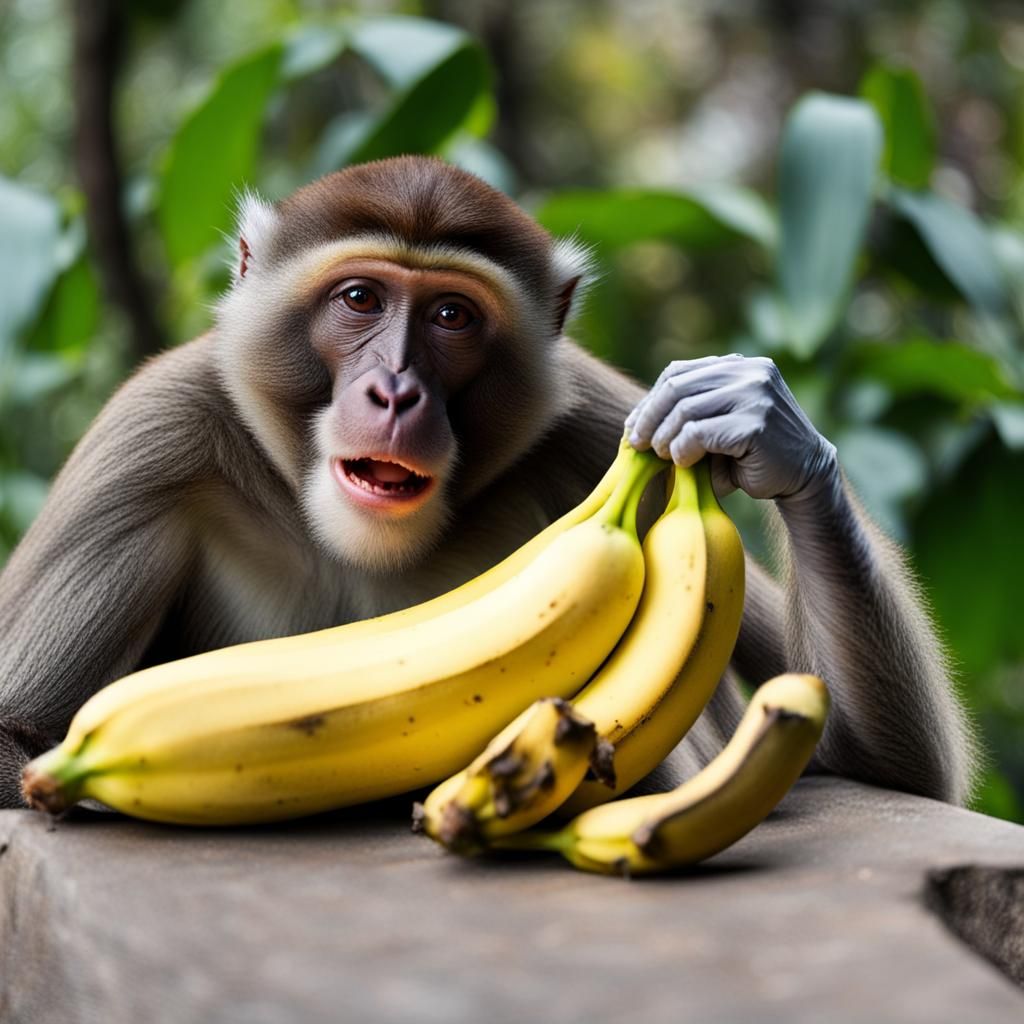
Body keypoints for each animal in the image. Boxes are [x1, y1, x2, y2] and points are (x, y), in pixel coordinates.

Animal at [0, 155, 976, 811]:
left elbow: (875, 767)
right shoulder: (152, 441)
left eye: (450, 315)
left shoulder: (595, 417)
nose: (395, 390)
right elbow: (17, 737)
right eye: (360, 300)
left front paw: (768, 430)